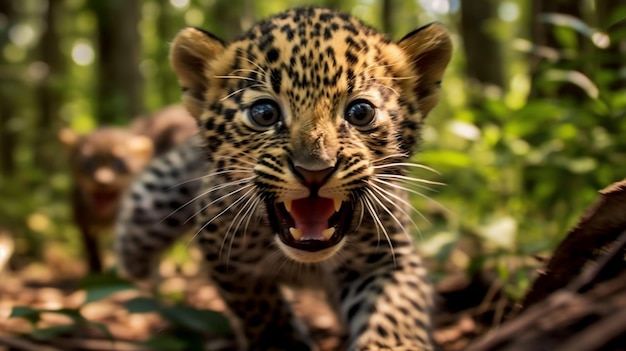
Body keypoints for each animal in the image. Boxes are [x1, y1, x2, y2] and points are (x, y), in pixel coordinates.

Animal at [116, 6, 448, 351]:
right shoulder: (225, 258)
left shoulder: (387, 259)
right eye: (264, 113)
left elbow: (394, 314)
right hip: (156, 196)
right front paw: (281, 343)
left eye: (360, 112)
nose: (314, 170)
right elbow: (262, 311)